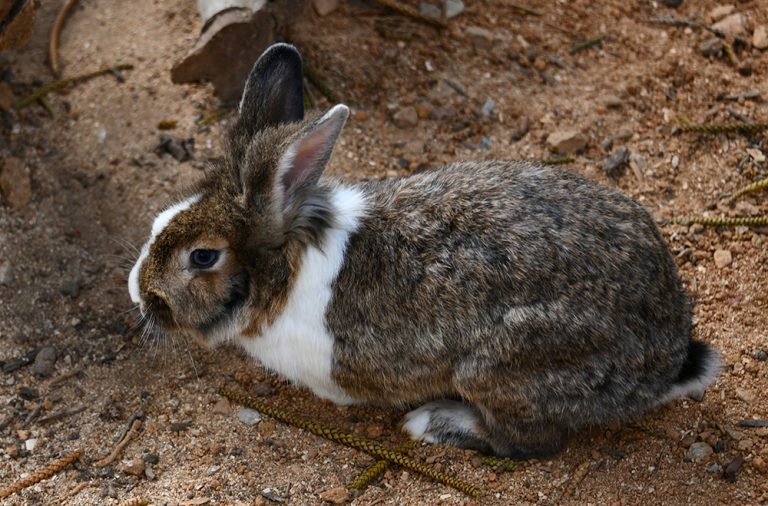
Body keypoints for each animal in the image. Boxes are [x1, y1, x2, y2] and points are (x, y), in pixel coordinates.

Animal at [126, 43, 720, 458]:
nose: (138, 292)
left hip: (501, 367)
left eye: (202, 257)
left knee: (529, 443)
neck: (285, 266)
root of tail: (668, 362)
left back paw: (434, 422)